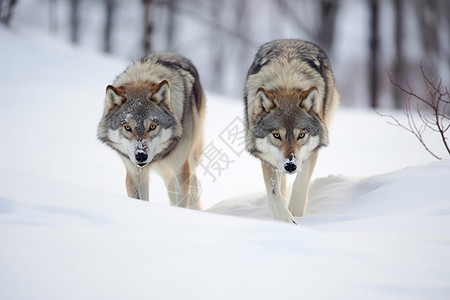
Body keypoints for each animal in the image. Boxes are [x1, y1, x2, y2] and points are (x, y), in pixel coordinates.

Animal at [98, 52, 206, 209]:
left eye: (152, 126)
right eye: (127, 127)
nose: (141, 156)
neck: (141, 79)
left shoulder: (180, 168)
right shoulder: (135, 173)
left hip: (191, 159)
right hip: (163, 170)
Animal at [244, 39, 340, 223]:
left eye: (301, 135)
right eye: (276, 135)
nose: (290, 166)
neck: (286, 83)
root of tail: (291, 39)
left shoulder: (311, 154)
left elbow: (300, 187)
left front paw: (296, 216)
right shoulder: (267, 159)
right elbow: (275, 194)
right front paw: (286, 222)